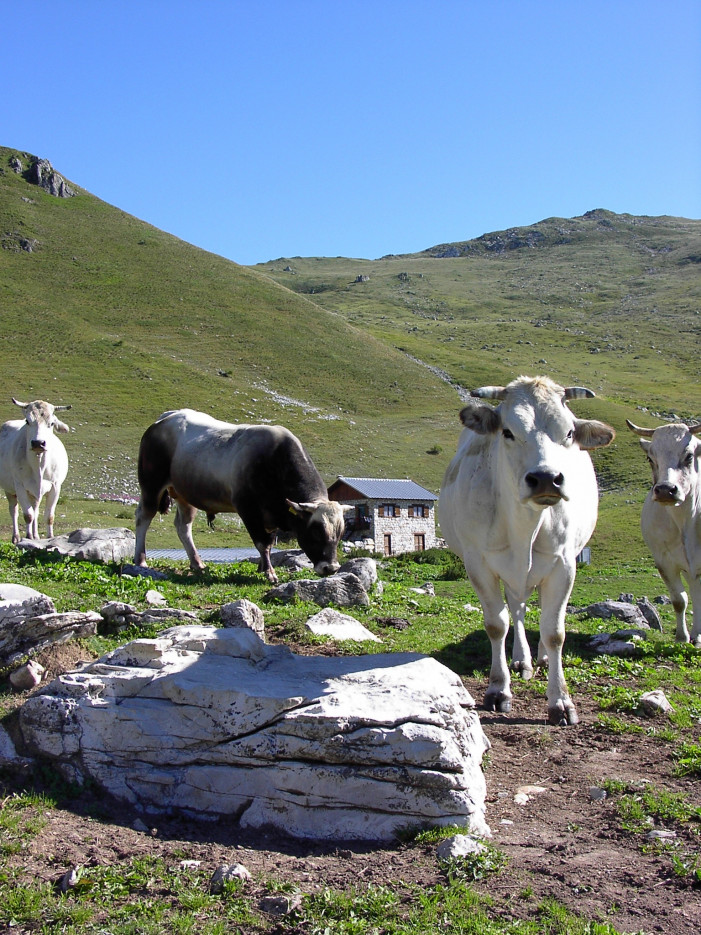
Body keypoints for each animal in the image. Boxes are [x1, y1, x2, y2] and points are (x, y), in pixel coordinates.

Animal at [0, 398, 71, 544]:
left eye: (52, 423)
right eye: (28, 421)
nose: (38, 443)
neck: (39, 466)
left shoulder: (56, 487)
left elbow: (49, 516)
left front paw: (50, 537)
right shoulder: (19, 486)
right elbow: (28, 515)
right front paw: (28, 537)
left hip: (34, 494)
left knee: (36, 510)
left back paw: (36, 535)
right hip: (9, 489)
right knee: (14, 511)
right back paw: (16, 537)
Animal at [133, 408, 348, 576]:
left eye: (340, 533)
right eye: (316, 531)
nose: (331, 568)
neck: (274, 462)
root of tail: (163, 419)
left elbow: (269, 542)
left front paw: (262, 567)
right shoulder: (248, 509)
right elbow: (262, 542)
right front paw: (269, 572)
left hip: (184, 494)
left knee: (183, 526)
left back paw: (197, 563)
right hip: (151, 485)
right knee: (144, 517)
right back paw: (140, 560)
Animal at [440, 376, 616, 728]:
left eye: (569, 433)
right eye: (507, 432)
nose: (546, 478)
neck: (525, 526)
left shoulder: (564, 565)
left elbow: (555, 632)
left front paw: (560, 701)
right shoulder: (479, 565)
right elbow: (497, 624)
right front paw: (498, 690)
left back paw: (541, 658)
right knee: (517, 610)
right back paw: (521, 661)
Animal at [624, 420, 700, 648]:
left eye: (689, 456)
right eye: (650, 458)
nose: (666, 490)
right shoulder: (664, 562)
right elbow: (679, 600)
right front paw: (682, 637)